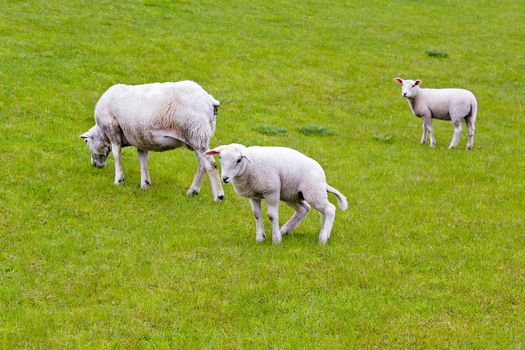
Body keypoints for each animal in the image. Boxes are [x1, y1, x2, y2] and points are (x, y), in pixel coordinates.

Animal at [80, 79, 223, 200]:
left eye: (87, 142)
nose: (94, 165)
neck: (102, 133)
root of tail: (209, 100)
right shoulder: (140, 137)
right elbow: (143, 159)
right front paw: (145, 184)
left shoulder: (113, 129)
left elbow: (116, 155)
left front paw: (119, 180)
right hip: (198, 136)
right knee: (202, 164)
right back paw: (193, 191)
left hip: (197, 133)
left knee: (211, 164)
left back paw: (218, 196)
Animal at [205, 144, 348, 245]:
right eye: (220, 158)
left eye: (239, 160)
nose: (225, 178)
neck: (250, 166)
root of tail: (324, 180)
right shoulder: (254, 195)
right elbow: (257, 215)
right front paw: (260, 238)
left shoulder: (271, 192)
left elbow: (272, 216)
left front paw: (276, 241)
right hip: (292, 194)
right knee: (304, 209)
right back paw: (285, 231)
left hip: (313, 191)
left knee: (329, 209)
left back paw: (323, 238)